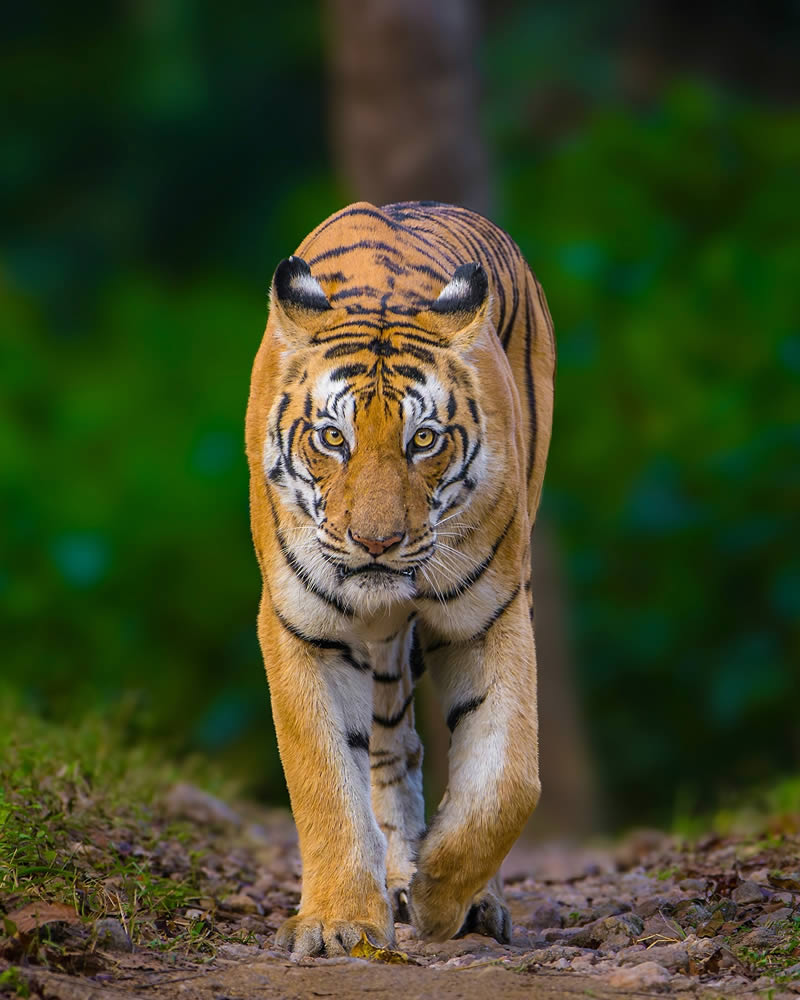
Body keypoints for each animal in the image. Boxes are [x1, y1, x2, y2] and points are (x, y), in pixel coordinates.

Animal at [245, 199, 556, 956]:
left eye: (424, 439)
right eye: (333, 438)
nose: (377, 543)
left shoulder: (492, 615)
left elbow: (508, 780)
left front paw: (442, 896)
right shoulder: (303, 625)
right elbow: (324, 778)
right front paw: (339, 922)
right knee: (388, 747)